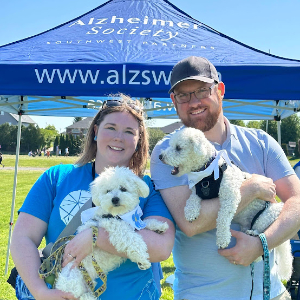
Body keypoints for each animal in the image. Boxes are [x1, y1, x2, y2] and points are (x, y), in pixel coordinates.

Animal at [55, 166, 169, 300]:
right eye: (108, 191)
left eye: (123, 188)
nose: (114, 199)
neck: (119, 215)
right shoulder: (116, 228)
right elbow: (133, 240)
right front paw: (142, 259)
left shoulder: (132, 224)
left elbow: (144, 225)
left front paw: (159, 226)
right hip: (74, 282)